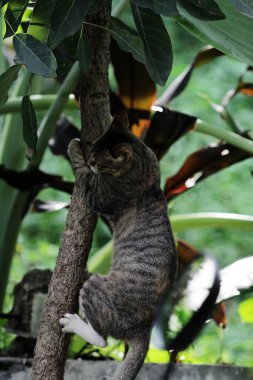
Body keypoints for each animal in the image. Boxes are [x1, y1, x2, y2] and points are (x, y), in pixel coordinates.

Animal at [60, 110, 177, 380]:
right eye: (94, 147)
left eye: (97, 160)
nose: (91, 156)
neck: (146, 171)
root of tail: (144, 330)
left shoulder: (97, 195)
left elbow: (83, 173)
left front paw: (73, 146)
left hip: (94, 286)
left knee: (102, 340)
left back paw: (74, 324)